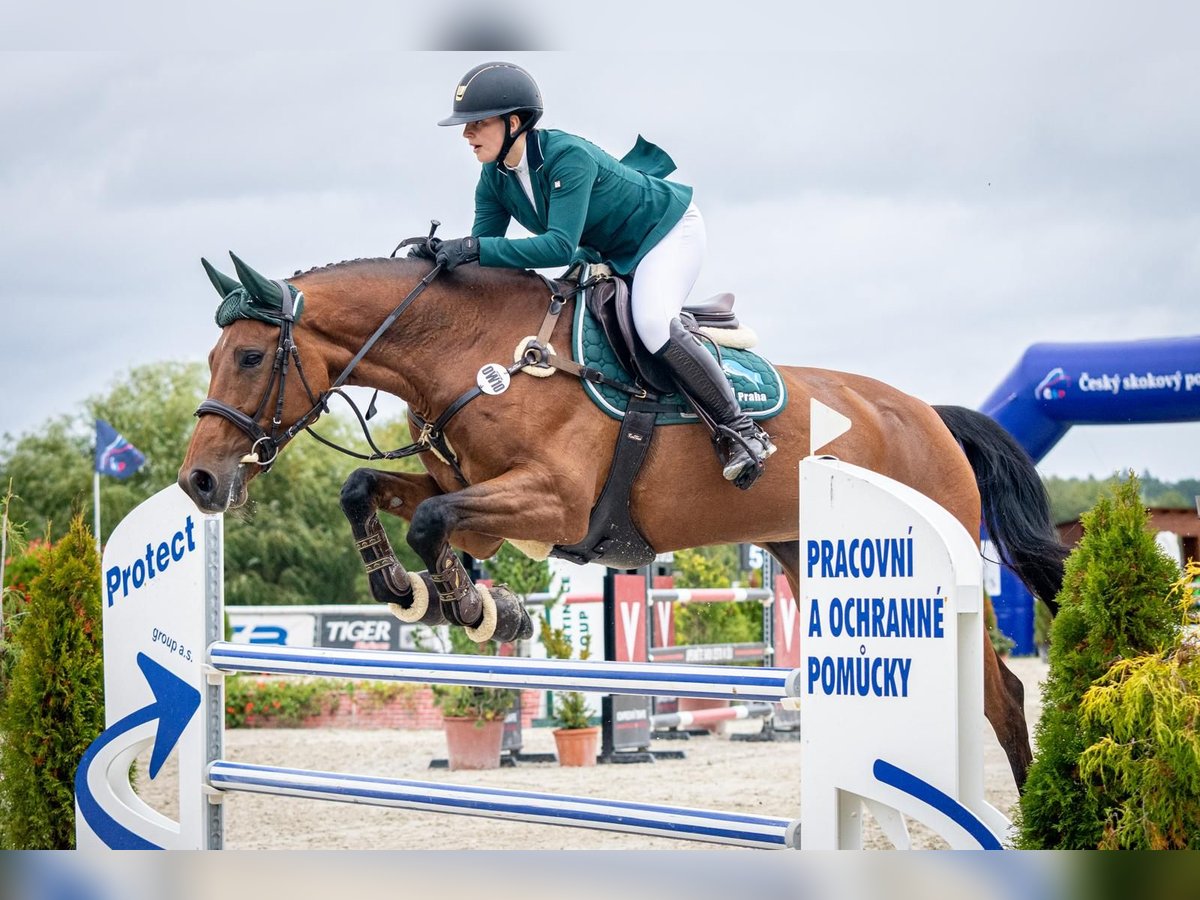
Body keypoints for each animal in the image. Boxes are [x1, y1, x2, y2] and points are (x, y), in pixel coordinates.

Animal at [175, 252, 1060, 787]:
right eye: (214, 357)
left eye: (249, 357)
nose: (199, 480)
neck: (471, 353)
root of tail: (932, 415)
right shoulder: (484, 506)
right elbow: (369, 491)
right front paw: (413, 589)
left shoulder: (550, 500)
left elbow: (430, 520)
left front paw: (479, 608)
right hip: (811, 560)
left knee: (1003, 696)